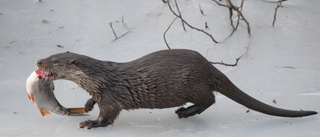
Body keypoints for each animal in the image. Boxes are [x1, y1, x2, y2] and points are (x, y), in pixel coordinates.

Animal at [36, 49, 316, 130]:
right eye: (49, 56)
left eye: (55, 61)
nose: (39, 62)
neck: (100, 78)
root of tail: (209, 67)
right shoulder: (100, 91)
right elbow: (93, 101)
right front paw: (86, 106)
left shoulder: (112, 97)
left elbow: (109, 115)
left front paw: (91, 123)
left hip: (191, 85)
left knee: (210, 99)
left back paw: (185, 112)